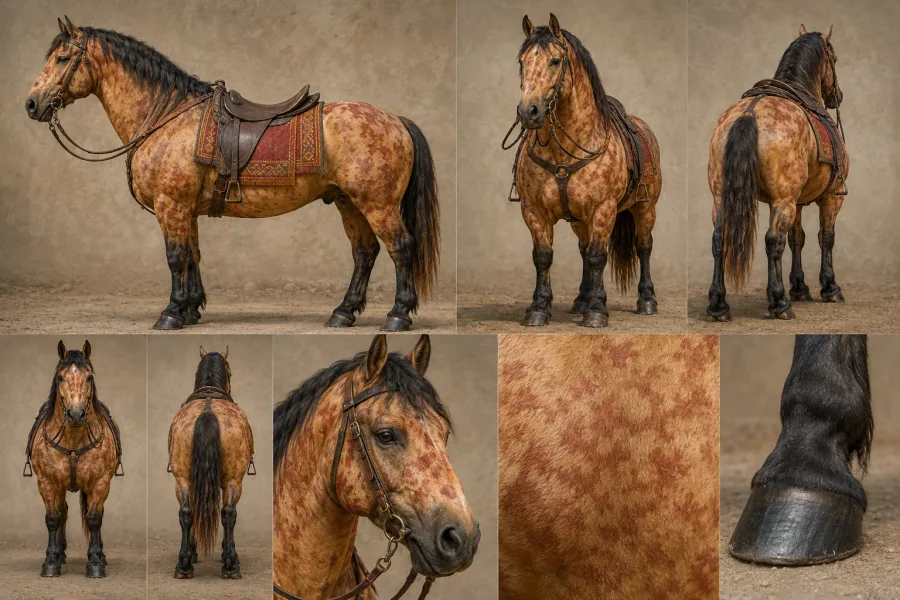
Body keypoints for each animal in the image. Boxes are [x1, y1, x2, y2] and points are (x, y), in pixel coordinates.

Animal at [22, 340, 124, 578]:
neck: (73, 439)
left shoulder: (100, 482)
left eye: (90, 377)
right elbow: (53, 518)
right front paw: (51, 561)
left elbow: (94, 518)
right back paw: (60, 553)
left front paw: (95, 562)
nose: (76, 414)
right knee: (63, 513)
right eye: (60, 377)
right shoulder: (47, 482)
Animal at [25, 17, 440, 332]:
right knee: (364, 253)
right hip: (348, 202)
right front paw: (191, 308)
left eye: (62, 58)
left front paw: (171, 313)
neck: (168, 117)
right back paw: (343, 313)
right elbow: (192, 255)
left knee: (401, 249)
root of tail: (396, 121)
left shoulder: (170, 205)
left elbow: (175, 257)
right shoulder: (185, 209)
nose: (31, 104)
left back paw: (398, 316)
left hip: (378, 204)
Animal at [167, 346, 254, 579]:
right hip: (232, 480)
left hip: (184, 479)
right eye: (230, 372)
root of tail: (207, 410)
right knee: (227, 513)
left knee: (187, 512)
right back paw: (230, 566)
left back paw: (184, 565)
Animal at [504, 14, 663, 328]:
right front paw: (538, 308)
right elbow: (544, 256)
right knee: (583, 249)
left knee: (643, 246)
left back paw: (646, 300)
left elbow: (598, 256)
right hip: (578, 219)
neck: (565, 151)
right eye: (521, 62)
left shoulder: (604, 209)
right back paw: (580, 300)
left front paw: (597, 311)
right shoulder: (533, 210)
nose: (528, 112)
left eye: (555, 61)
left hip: (646, 208)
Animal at [706, 25, 848, 322]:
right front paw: (830, 288)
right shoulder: (830, 198)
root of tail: (749, 114)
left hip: (722, 199)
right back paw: (780, 302)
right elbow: (826, 238)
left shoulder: (798, 202)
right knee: (773, 241)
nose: (837, 96)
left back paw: (718, 305)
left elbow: (798, 239)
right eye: (834, 59)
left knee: (719, 238)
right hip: (783, 202)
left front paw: (800, 288)